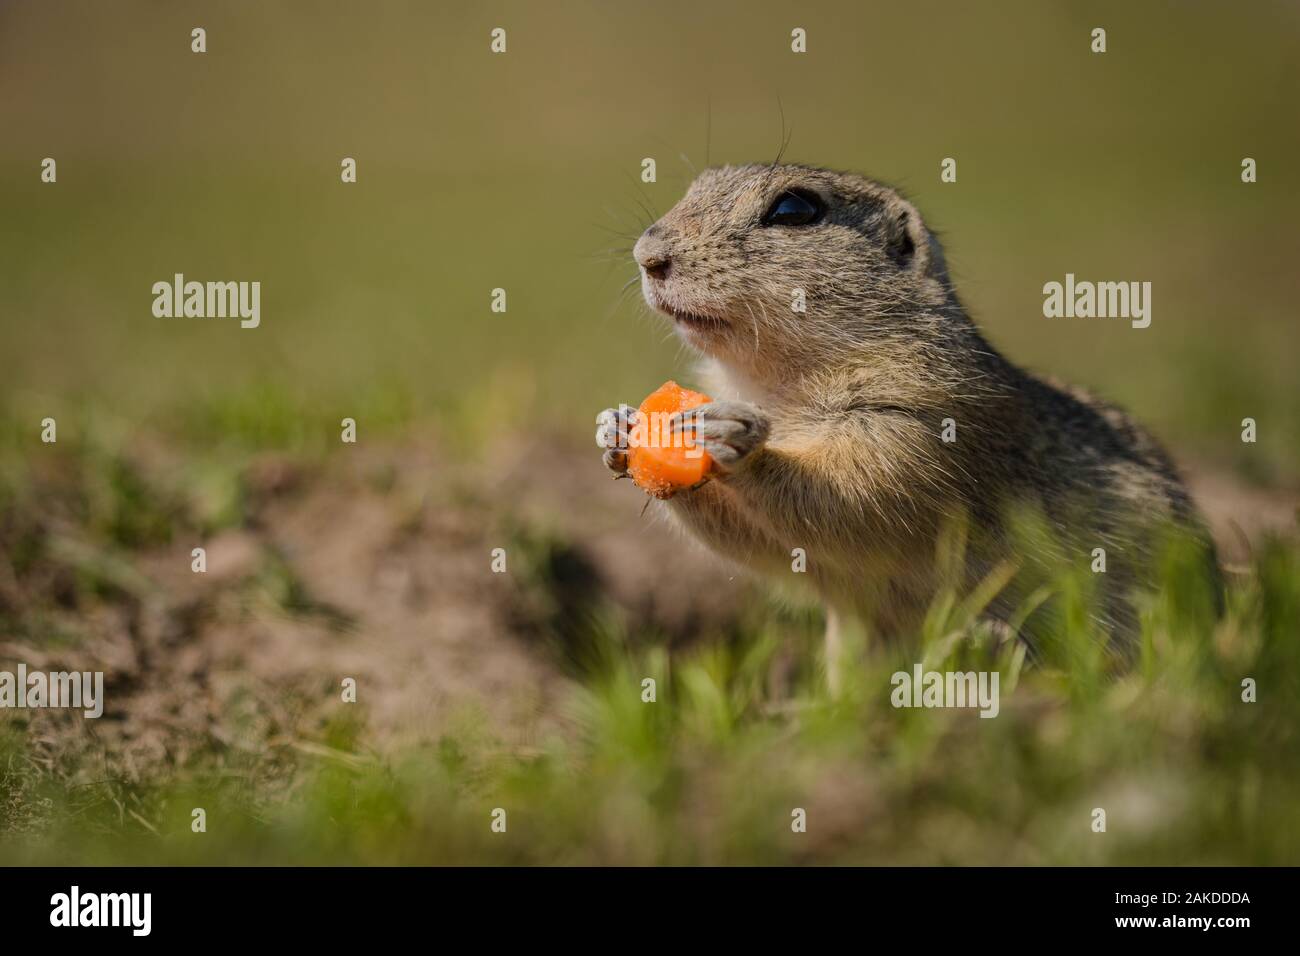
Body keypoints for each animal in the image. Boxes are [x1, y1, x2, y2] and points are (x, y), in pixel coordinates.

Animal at [596, 164, 1218, 687]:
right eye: (696, 184)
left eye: (795, 209)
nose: (647, 254)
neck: (776, 389)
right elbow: (763, 541)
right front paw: (619, 429)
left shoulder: (920, 426)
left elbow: (857, 495)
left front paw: (736, 439)